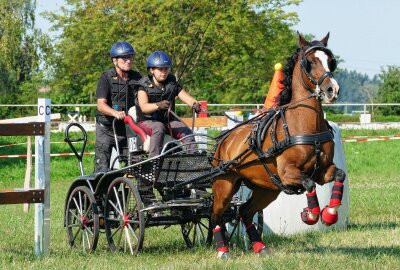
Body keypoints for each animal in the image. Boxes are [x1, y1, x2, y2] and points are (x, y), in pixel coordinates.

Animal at [211, 32, 346, 258]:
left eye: (331, 61)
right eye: (309, 62)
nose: (331, 90)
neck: (304, 126)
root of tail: (224, 140)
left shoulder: (323, 171)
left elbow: (339, 176)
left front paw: (329, 214)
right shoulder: (288, 173)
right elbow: (308, 184)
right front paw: (311, 214)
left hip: (266, 189)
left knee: (245, 212)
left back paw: (260, 247)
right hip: (224, 185)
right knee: (215, 214)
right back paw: (223, 250)